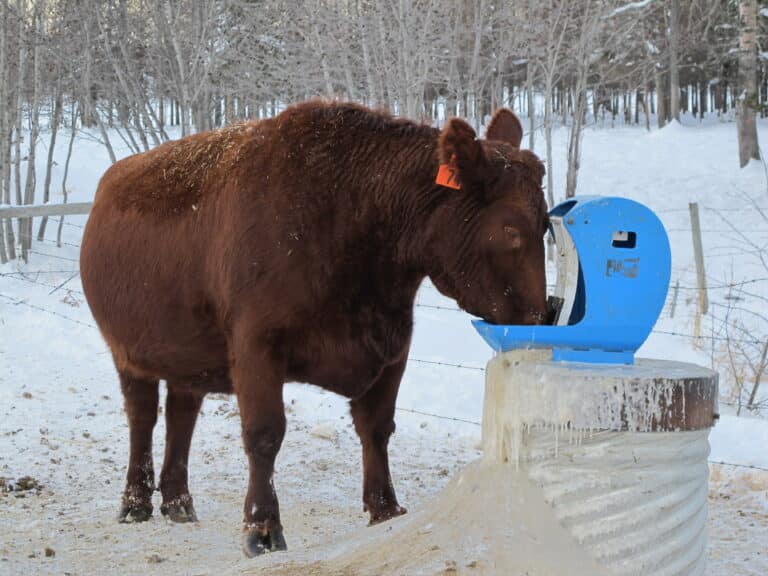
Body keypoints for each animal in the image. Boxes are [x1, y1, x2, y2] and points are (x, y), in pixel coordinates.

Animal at [81, 101, 548, 556]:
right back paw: (135, 503)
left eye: (546, 223)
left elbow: (377, 427)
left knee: (182, 413)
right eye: (510, 229)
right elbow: (264, 433)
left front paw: (385, 508)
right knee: (142, 417)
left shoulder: (393, 348)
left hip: (189, 355)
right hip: (128, 353)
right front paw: (263, 527)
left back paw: (178, 502)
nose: (538, 319)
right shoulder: (256, 346)